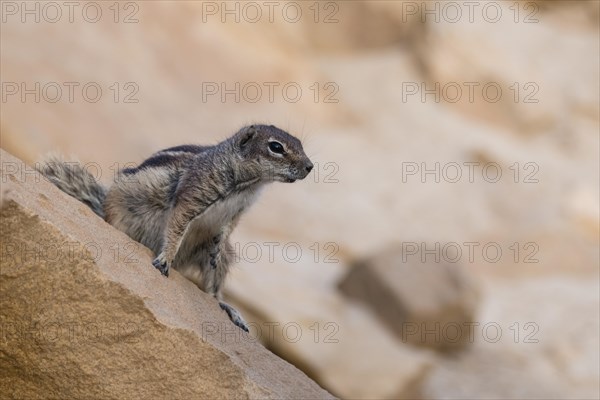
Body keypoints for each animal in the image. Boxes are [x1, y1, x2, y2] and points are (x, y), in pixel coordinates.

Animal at [38, 126, 314, 332]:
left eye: (300, 144)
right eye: (276, 147)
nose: (310, 167)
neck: (248, 184)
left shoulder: (235, 214)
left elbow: (224, 231)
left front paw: (213, 250)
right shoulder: (193, 193)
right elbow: (177, 226)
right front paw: (164, 259)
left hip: (222, 257)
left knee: (213, 290)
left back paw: (229, 309)